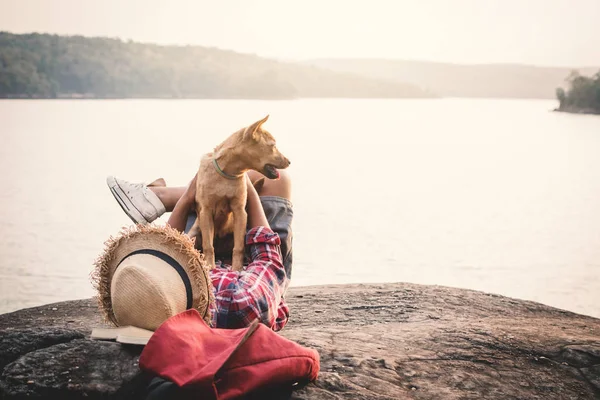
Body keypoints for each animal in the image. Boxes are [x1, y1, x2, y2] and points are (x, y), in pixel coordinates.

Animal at [188, 116, 290, 272]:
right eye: (273, 145)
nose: (289, 162)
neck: (227, 175)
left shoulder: (240, 212)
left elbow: (238, 248)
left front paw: (237, 269)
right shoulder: (206, 212)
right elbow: (208, 245)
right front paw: (210, 267)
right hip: (194, 232)